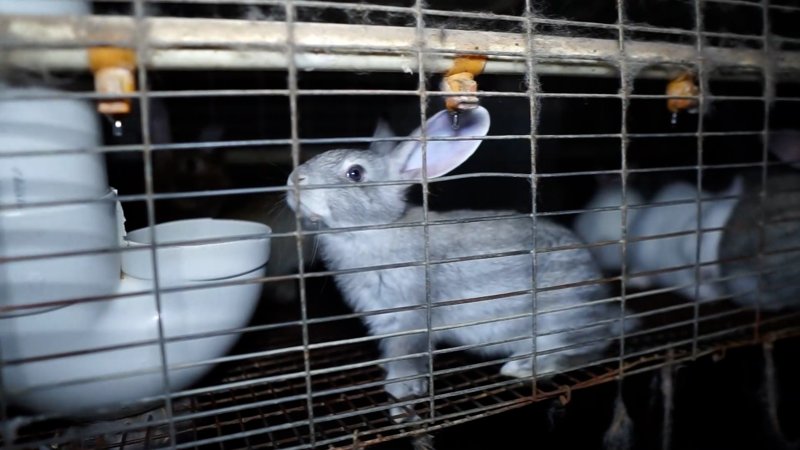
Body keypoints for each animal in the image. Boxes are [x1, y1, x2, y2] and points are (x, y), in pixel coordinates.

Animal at [288, 106, 632, 422]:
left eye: (355, 173)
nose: (294, 180)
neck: (375, 229)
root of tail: (604, 308)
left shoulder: (408, 320)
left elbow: (406, 359)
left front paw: (399, 398)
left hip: (558, 317)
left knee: (587, 347)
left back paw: (522, 367)